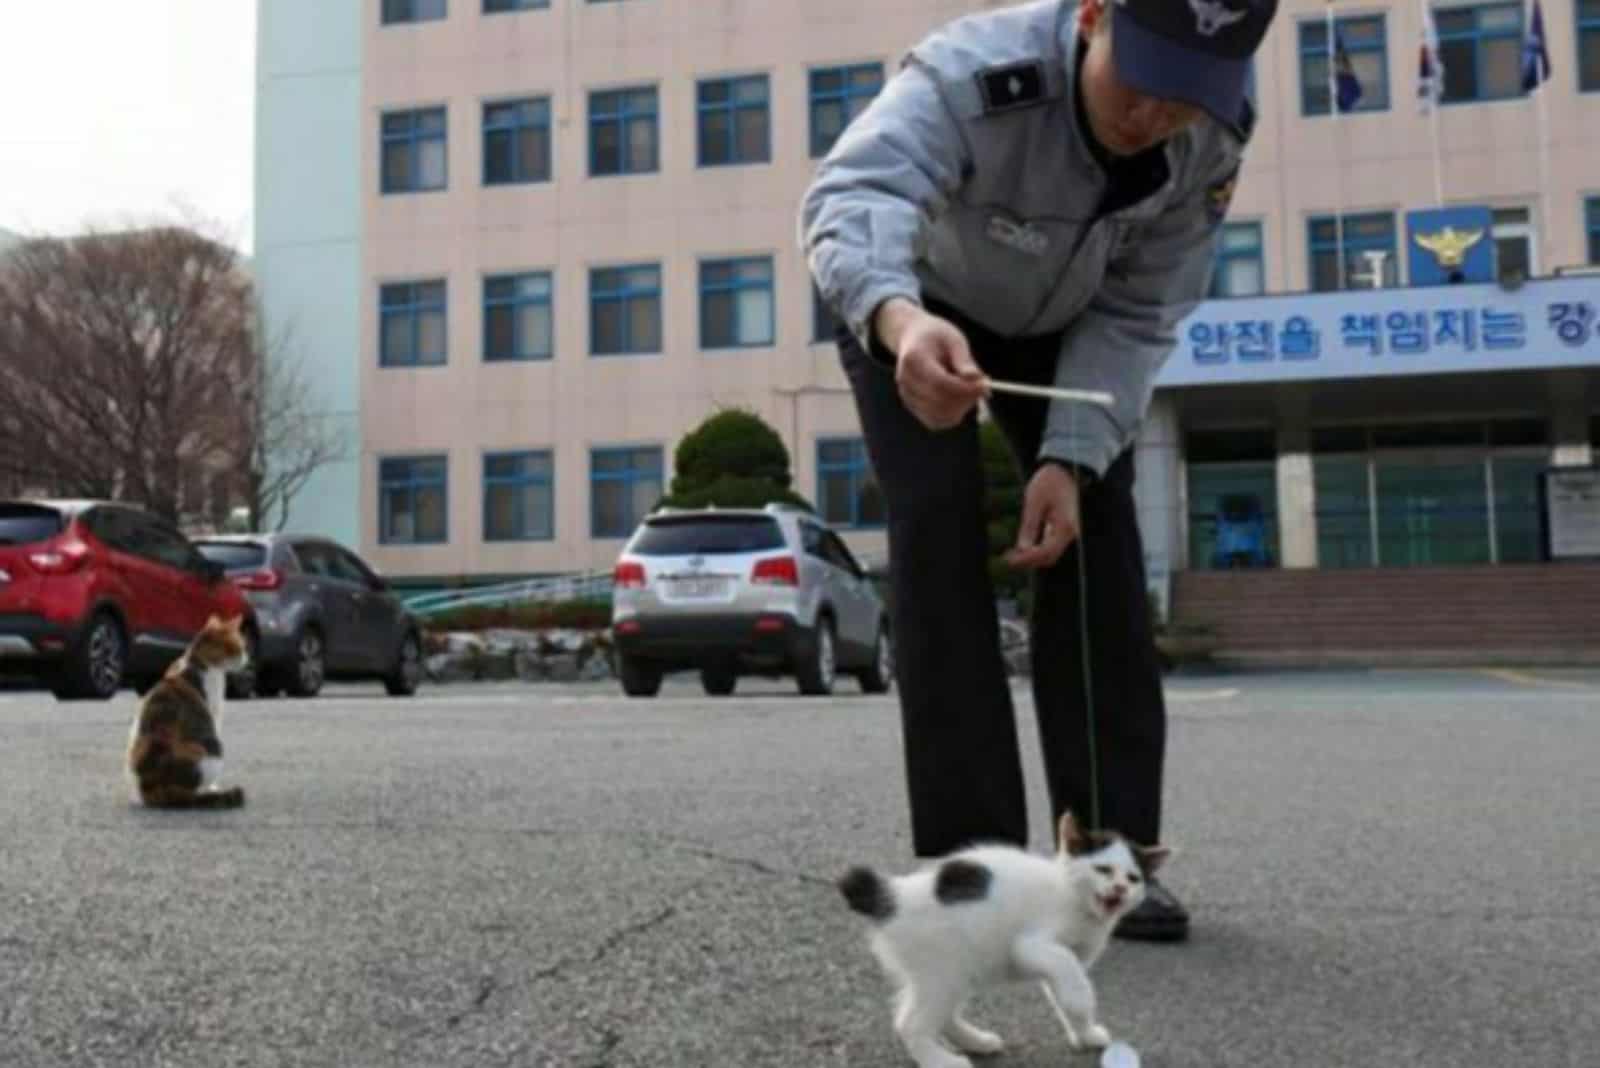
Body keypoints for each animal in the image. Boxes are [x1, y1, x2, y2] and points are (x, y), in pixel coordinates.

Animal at [126, 613, 249, 805]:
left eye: (242, 646)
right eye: (234, 647)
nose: (246, 657)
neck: (197, 662)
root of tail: (154, 788)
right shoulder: (213, 714)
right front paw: (215, 788)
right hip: (212, 749)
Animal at [844, 808, 1171, 1068]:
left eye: (1133, 878)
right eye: (1103, 869)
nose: (1119, 889)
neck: (1072, 898)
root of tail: (893, 896)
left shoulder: (1066, 960)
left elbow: (1063, 990)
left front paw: (1085, 1034)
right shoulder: (1031, 944)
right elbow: (1066, 965)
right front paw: (1082, 1001)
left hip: (953, 971)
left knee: (943, 1015)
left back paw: (976, 1041)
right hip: (943, 965)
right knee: (910, 1023)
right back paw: (942, 1061)